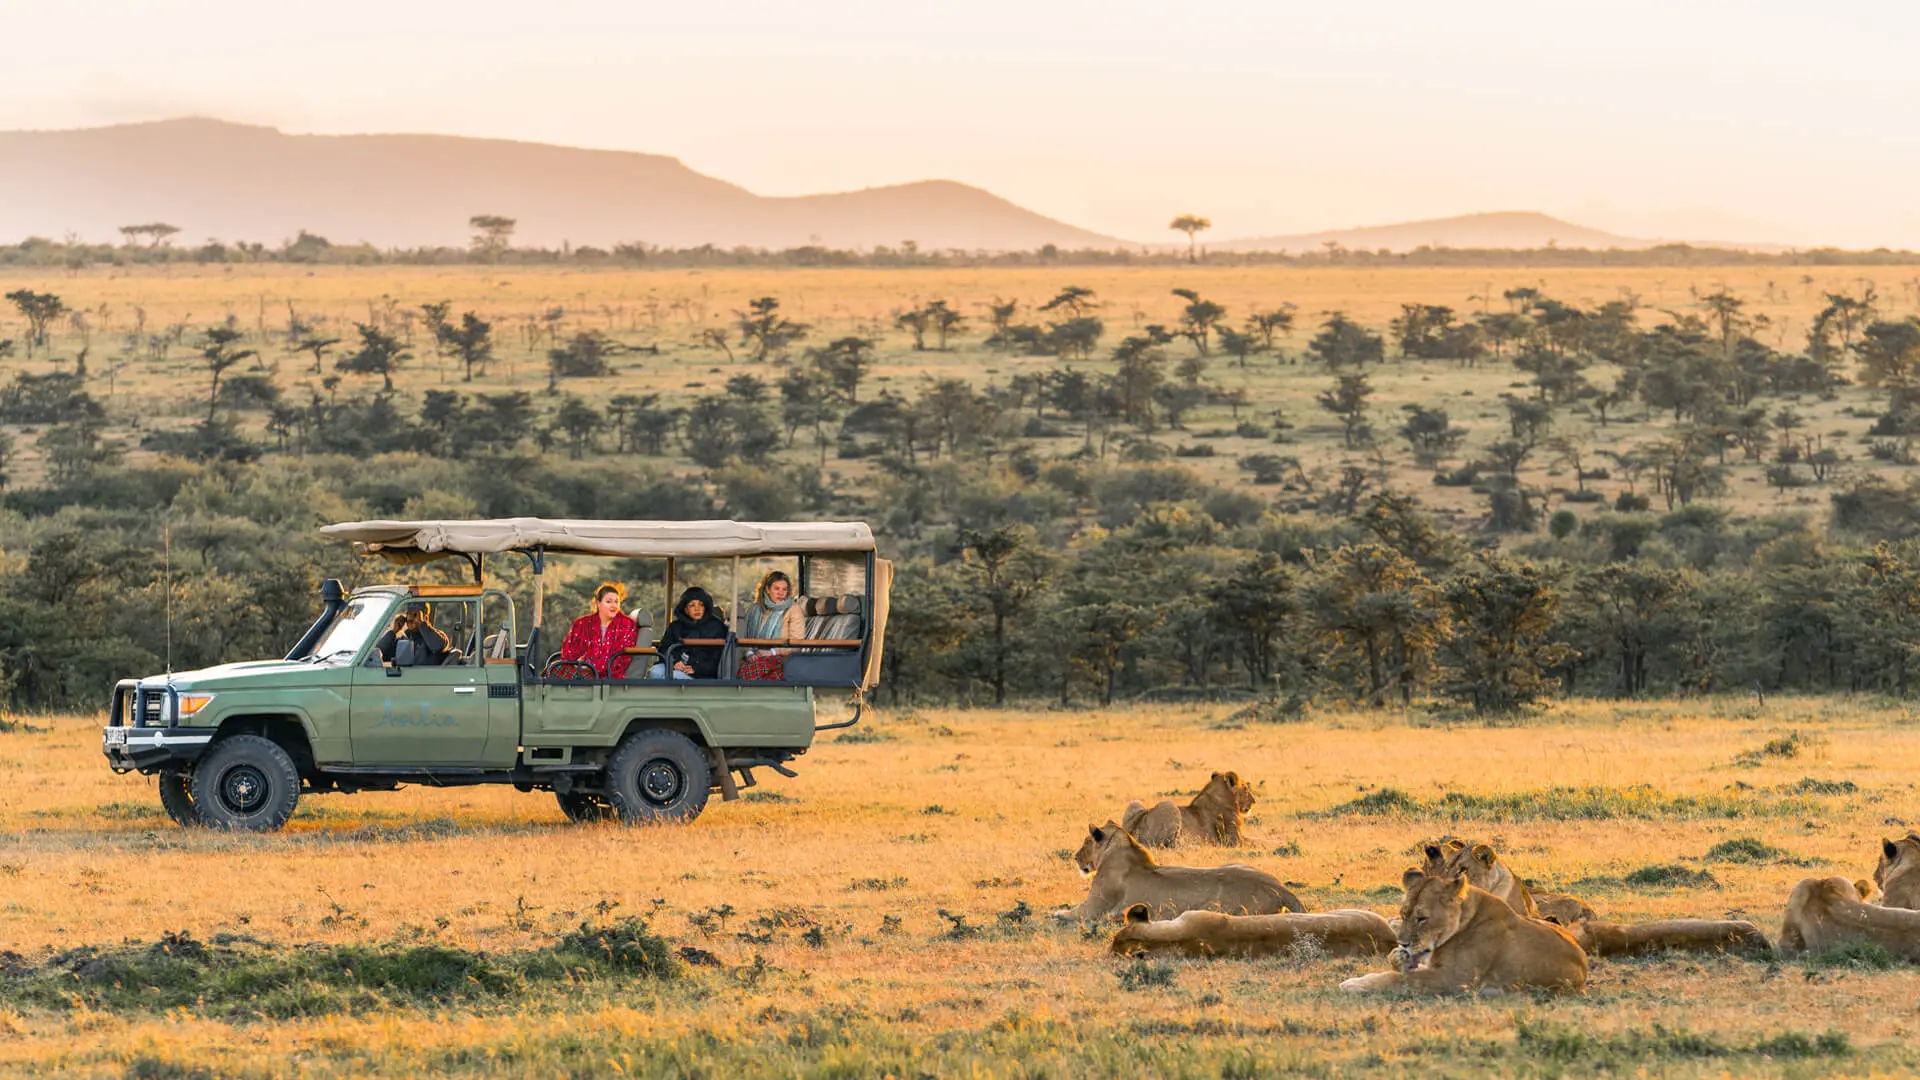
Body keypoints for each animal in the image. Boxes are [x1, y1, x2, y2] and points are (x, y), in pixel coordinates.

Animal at [1055, 823, 1304, 923]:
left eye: (1086, 842)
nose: (1075, 858)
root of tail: (1281, 889)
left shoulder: (1092, 909)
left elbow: (1067, 913)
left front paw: (1056, 912)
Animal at [1120, 771, 1255, 848]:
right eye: (1245, 789)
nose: (1254, 801)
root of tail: (1132, 832)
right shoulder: (1234, 839)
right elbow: (1257, 842)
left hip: (1134, 803)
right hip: (1169, 805)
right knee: (1165, 845)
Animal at [1339, 869, 1587, 995]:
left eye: (1422, 918)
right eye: (1403, 914)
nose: (1403, 943)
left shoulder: (1453, 979)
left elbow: (1398, 979)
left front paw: (1354, 984)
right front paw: (1398, 958)